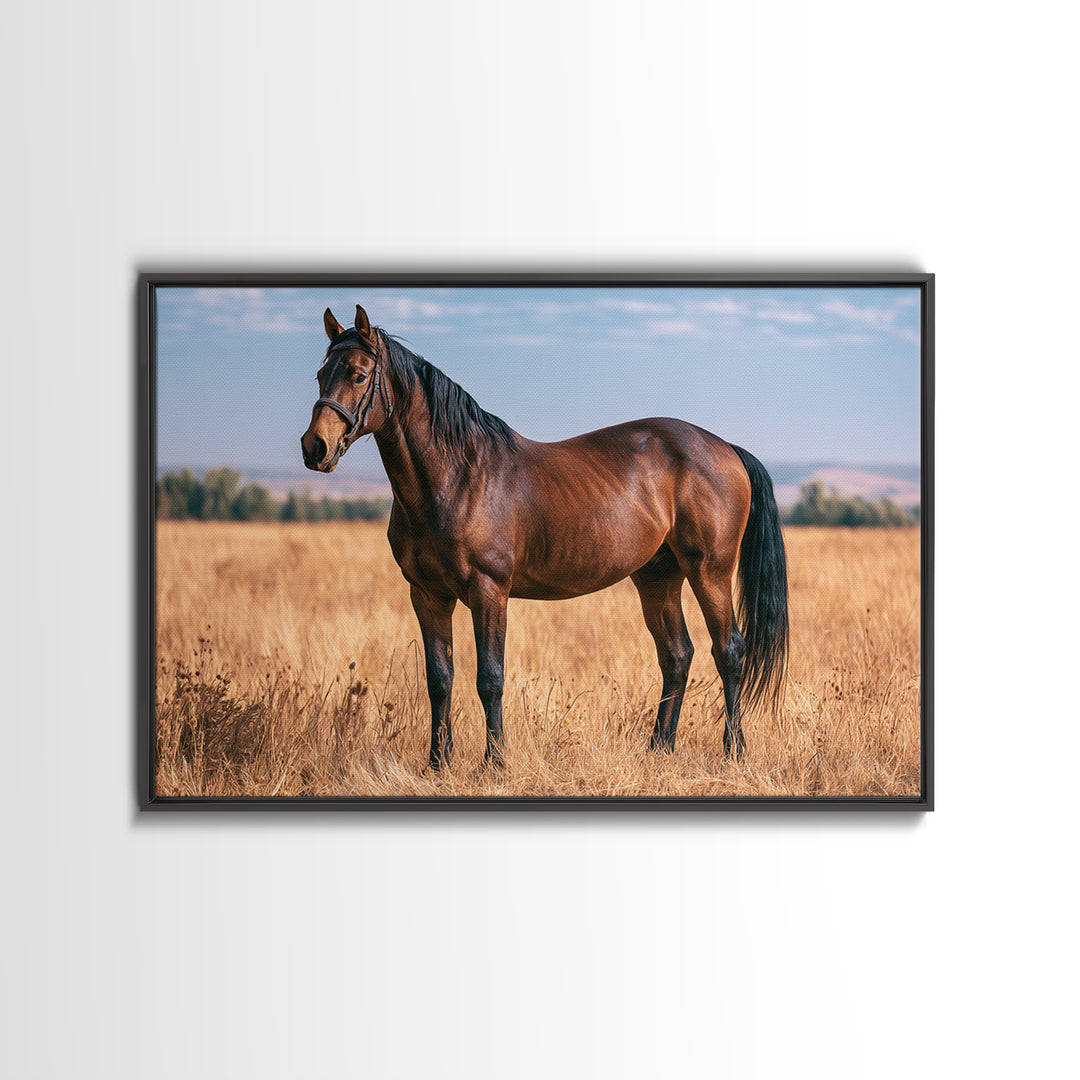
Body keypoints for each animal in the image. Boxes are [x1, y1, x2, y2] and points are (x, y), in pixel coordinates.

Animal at [301, 304, 788, 770]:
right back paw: (659, 748)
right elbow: (439, 680)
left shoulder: (488, 591)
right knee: (677, 655)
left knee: (729, 652)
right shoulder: (427, 594)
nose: (314, 447)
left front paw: (495, 763)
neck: (456, 477)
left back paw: (734, 751)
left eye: (358, 374)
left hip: (710, 572)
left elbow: (490, 678)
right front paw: (437, 764)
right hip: (657, 577)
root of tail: (726, 448)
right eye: (322, 375)